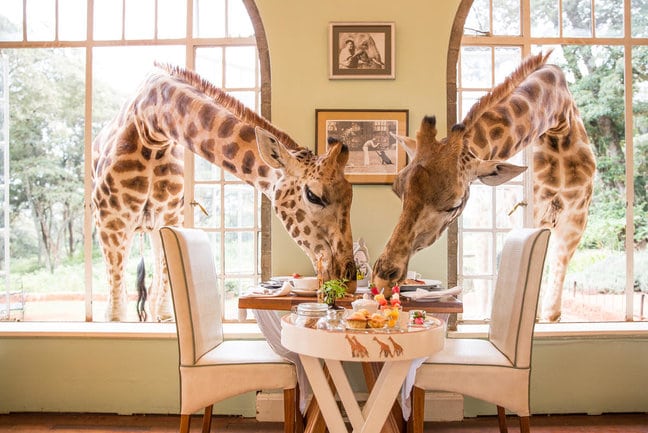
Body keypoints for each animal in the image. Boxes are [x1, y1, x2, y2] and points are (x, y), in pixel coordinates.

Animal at [92, 63, 356, 321]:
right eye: (313, 196)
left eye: (351, 196)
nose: (349, 280)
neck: (151, 126)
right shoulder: (110, 221)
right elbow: (115, 315)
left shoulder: (170, 218)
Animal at [372, 51, 596, 322]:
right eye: (398, 191)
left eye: (454, 204)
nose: (382, 278)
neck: (558, 120)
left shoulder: (575, 218)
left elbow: (552, 309)